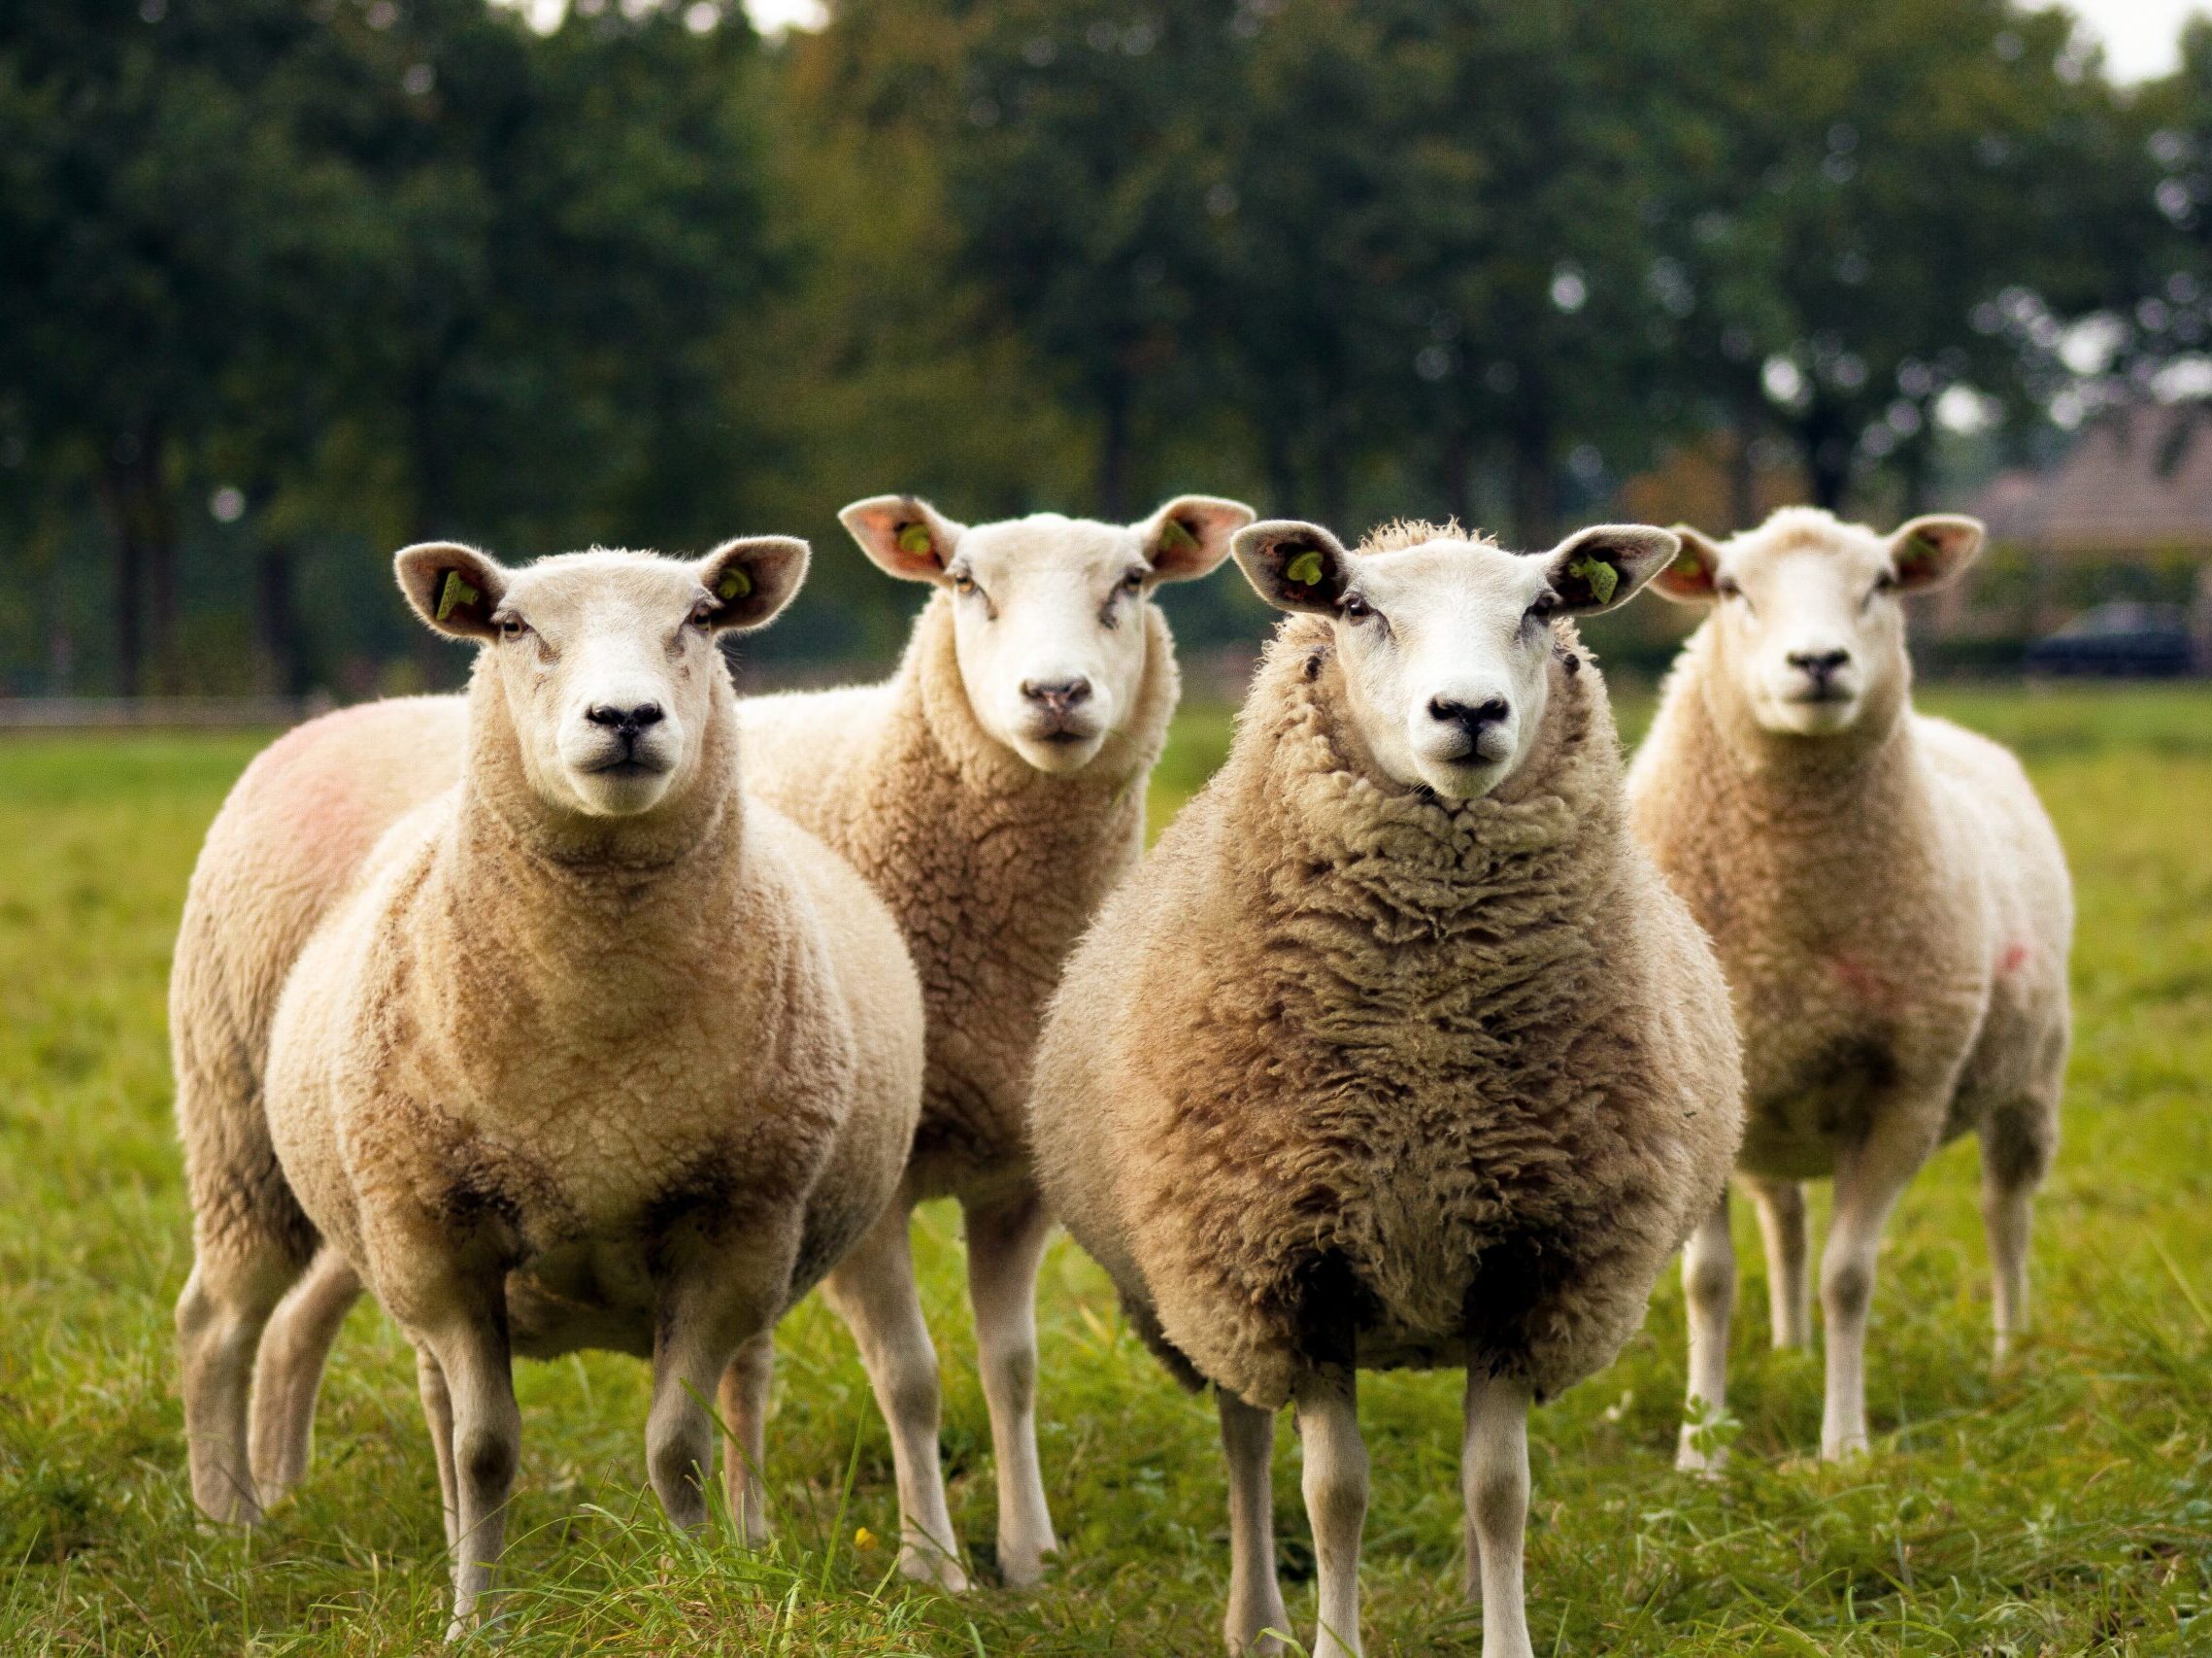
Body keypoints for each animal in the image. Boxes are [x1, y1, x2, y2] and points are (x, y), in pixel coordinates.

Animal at [174, 538, 926, 1634]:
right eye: (512, 625)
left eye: (702, 617)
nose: (625, 718)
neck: (595, 1058)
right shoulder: (438, 1234)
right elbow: (486, 1449)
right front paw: (473, 1622)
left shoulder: (734, 1228)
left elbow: (677, 1445)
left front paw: (699, 1586)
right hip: (241, 1135)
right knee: (221, 1322)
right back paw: (226, 1527)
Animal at [729, 492, 1251, 1587]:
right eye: (966, 583)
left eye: (1134, 580)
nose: (1055, 692)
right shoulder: (875, 1184)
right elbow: (911, 1377)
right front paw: (933, 1566)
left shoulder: (1019, 1177)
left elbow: (1011, 1368)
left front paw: (1027, 1554)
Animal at [1029, 517, 1745, 1658]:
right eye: (1359, 609)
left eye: (1545, 608)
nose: (1469, 713)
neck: (1426, 1051)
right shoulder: (1288, 1265)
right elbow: (1333, 1495)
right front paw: (1332, 1641)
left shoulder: (1529, 1263)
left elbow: (1498, 1488)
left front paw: (1505, 1638)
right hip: (1210, 1292)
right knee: (1245, 1441)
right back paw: (1258, 1621)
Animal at [1627, 505, 2073, 1467]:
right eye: (1731, 589)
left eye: (1881, 583)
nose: (1819, 663)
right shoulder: (1697, 1103)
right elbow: (1709, 1281)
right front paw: (1701, 1450)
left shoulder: (1907, 1095)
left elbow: (1849, 1277)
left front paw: (1844, 1447)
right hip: (1768, 1110)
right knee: (1786, 1218)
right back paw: (1790, 1348)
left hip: (2030, 1079)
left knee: (2006, 1213)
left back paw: (2011, 1350)